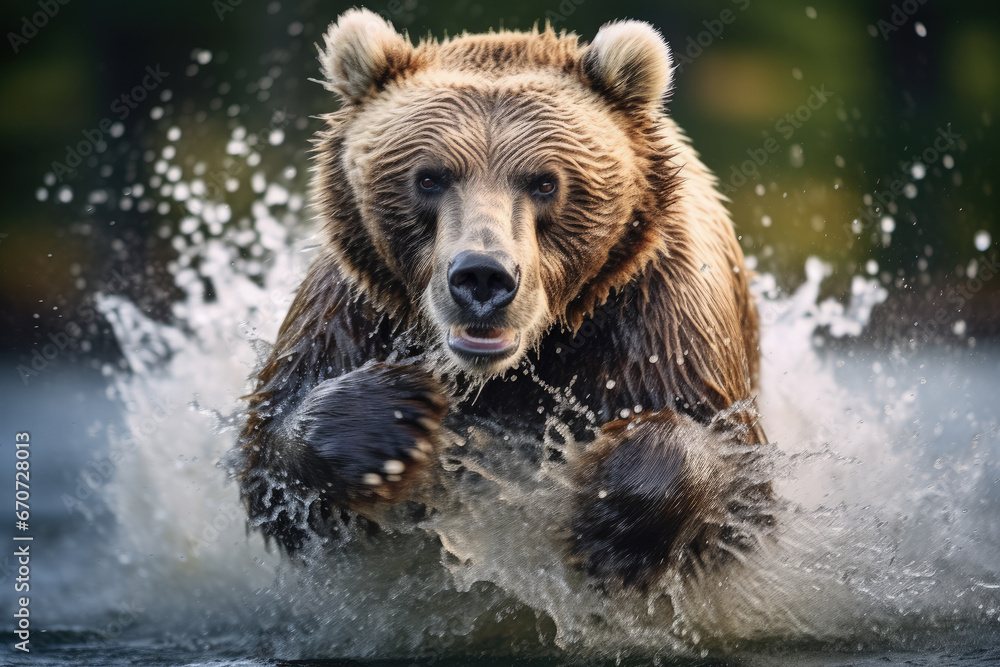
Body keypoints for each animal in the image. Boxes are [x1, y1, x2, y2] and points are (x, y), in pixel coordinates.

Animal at [236, 7, 772, 588]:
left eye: (545, 182)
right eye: (429, 178)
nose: (483, 277)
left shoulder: (660, 320)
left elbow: (732, 471)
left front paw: (610, 518)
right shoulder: (352, 313)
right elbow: (271, 454)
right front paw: (388, 421)